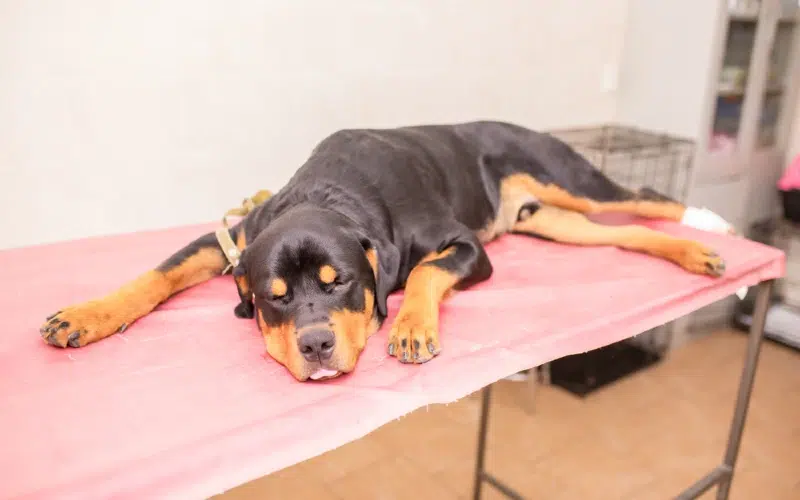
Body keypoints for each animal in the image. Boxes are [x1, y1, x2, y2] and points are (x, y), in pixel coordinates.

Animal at [37, 121, 724, 382]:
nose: (316, 345)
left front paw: (412, 328)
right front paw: (86, 316)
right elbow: (157, 274)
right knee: (627, 230)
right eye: (273, 299)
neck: (327, 192)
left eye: (339, 281)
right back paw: (697, 252)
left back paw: (710, 220)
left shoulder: (466, 247)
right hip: (556, 221)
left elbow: (421, 273)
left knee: (645, 197)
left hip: (562, 175)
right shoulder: (229, 239)